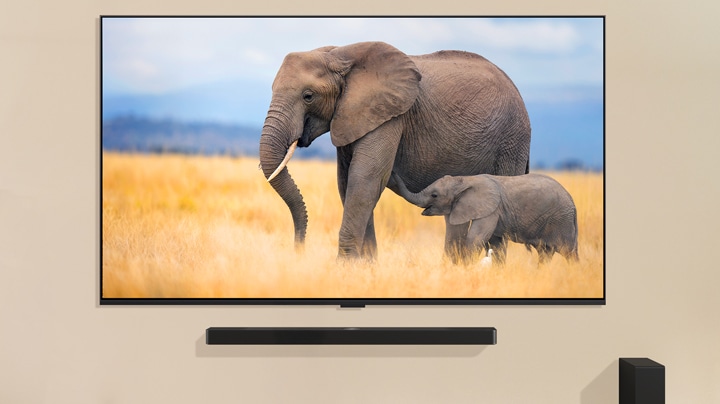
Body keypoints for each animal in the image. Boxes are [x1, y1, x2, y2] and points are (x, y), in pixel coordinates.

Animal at [258, 41, 531, 262]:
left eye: (308, 96)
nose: (299, 250)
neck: (340, 54)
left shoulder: (390, 115)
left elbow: (365, 180)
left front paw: (344, 268)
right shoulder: (352, 115)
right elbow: (348, 183)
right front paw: (365, 268)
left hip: (511, 141)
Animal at [391, 172, 579, 265]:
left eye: (434, 195)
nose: (392, 172)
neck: (464, 180)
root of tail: (573, 202)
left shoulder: (490, 210)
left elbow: (475, 237)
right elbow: (493, 243)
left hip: (561, 220)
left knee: (568, 252)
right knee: (545, 253)